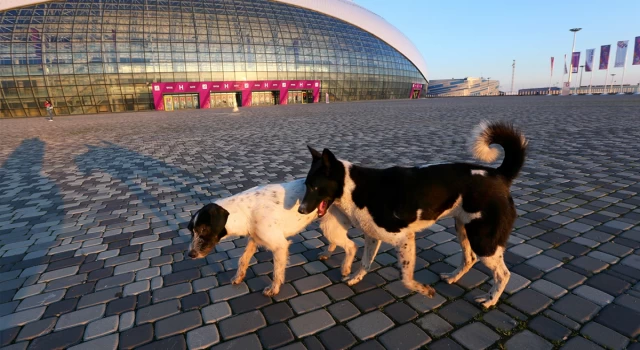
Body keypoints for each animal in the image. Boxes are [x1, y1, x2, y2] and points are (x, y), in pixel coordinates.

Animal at [185, 179, 358, 296]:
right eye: (191, 231)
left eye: (203, 229)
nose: (190, 255)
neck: (244, 212)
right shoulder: (254, 239)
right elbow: (243, 259)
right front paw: (238, 277)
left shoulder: (280, 246)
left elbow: (277, 271)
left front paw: (274, 289)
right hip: (330, 226)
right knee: (336, 243)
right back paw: (327, 254)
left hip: (332, 228)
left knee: (351, 246)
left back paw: (346, 269)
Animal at [298, 121, 528, 308]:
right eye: (306, 184)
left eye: (314, 187)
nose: (301, 210)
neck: (354, 187)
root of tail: (498, 174)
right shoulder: (372, 236)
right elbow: (365, 262)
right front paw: (355, 278)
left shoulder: (404, 238)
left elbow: (405, 278)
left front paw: (425, 291)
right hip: (463, 228)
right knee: (469, 258)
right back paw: (453, 278)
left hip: (484, 241)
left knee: (503, 274)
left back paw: (490, 300)